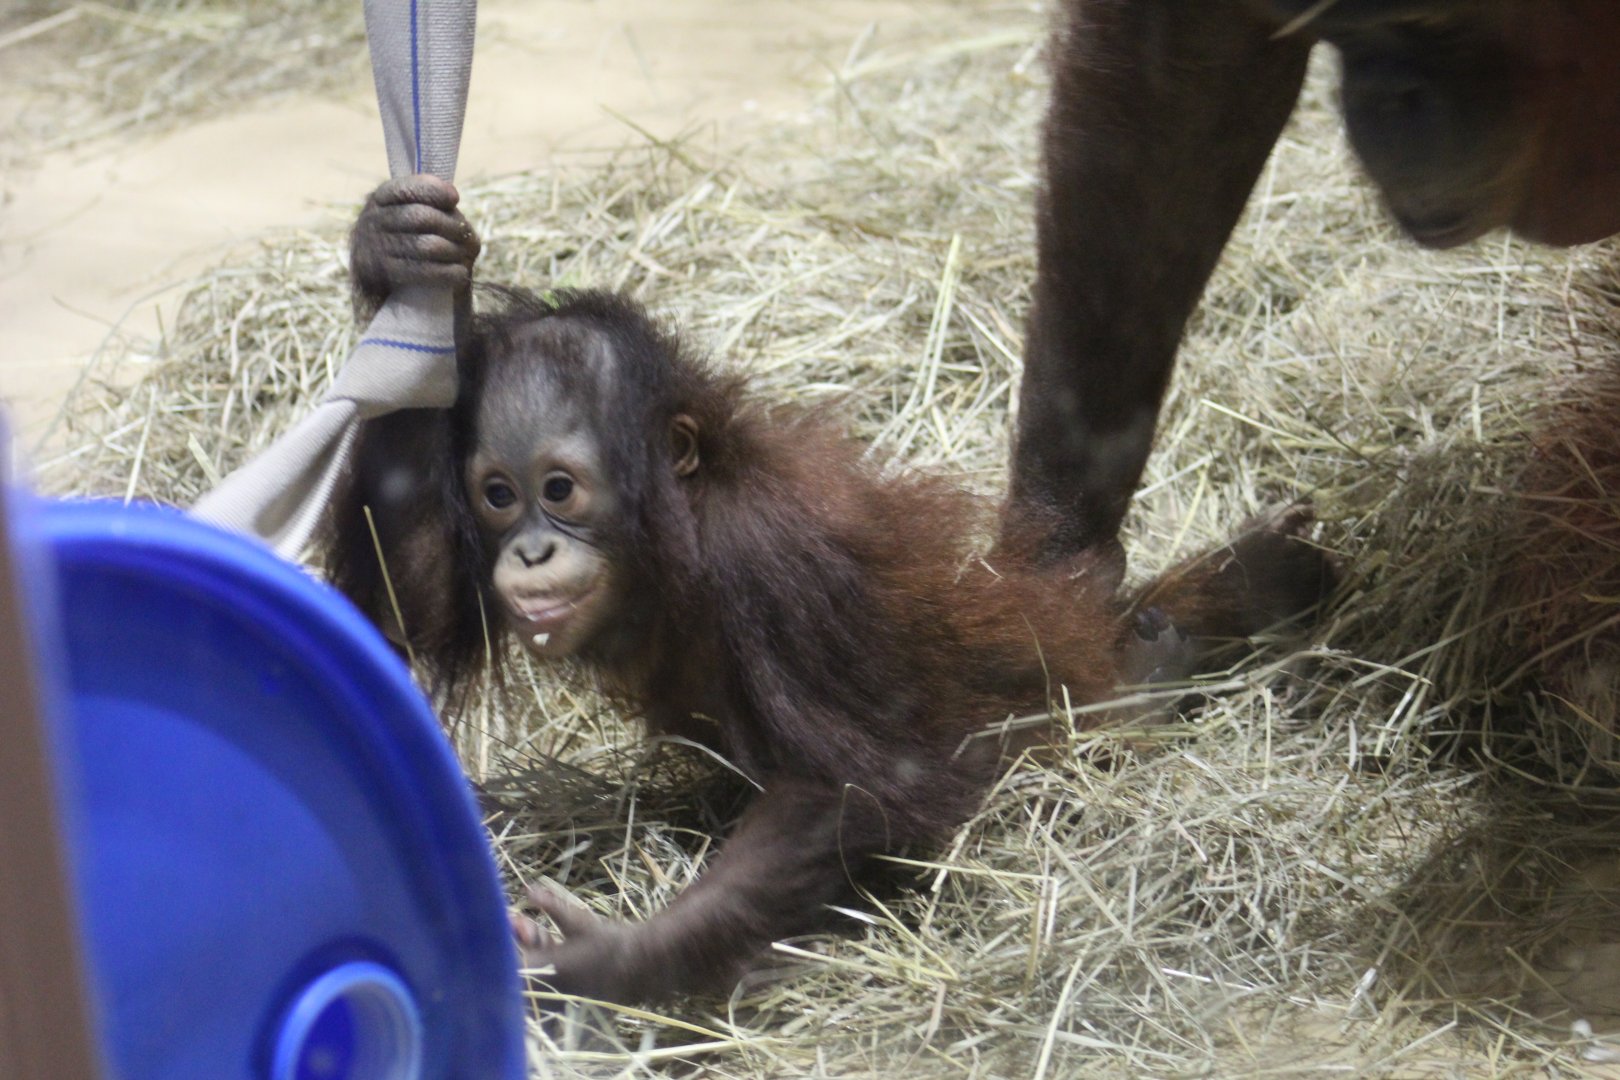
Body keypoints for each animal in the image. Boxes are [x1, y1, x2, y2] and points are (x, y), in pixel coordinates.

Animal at [326, 176, 1335, 1006]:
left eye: (561, 488)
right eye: (498, 495)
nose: (531, 552)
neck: (675, 546)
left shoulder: (769, 562)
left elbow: (854, 782)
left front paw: (616, 959)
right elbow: (413, 609)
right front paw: (404, 255)